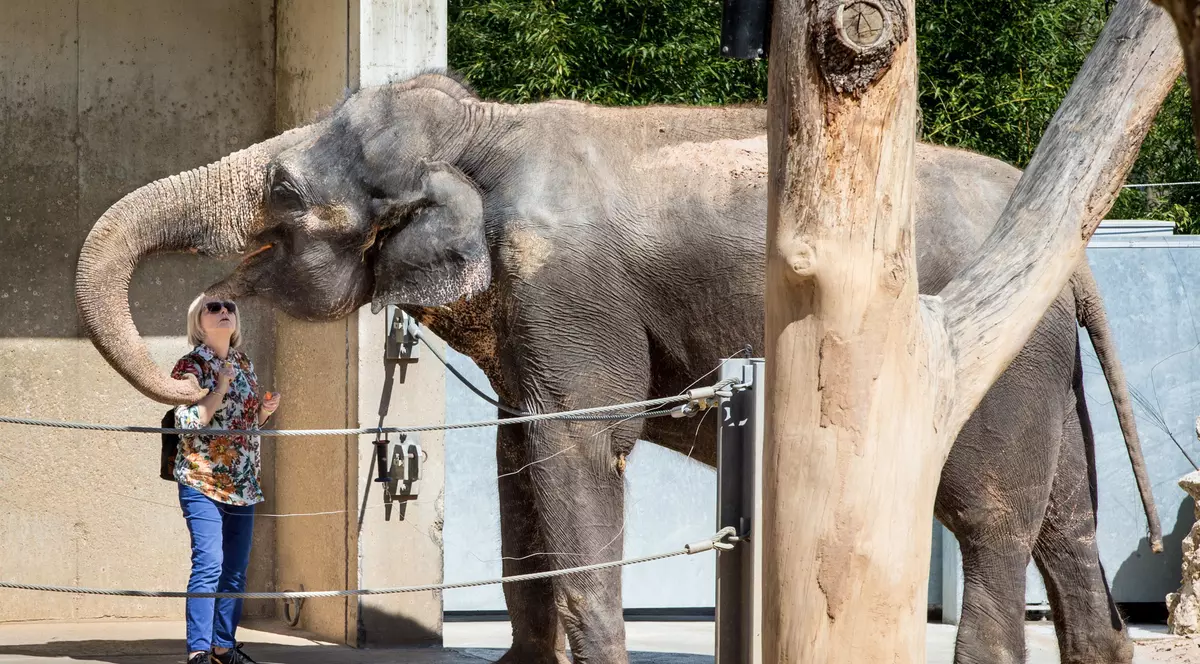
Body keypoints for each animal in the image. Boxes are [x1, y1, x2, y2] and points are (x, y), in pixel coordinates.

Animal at [75, 72, 1161, 664]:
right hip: (1046, 369)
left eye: (286, 194)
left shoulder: (569, 293)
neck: (488, 129)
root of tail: (1073, 254)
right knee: (1068, 524)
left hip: (995, 367)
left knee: (989, 521)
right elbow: (518, 464)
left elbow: (576, 450)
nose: (202, 354)